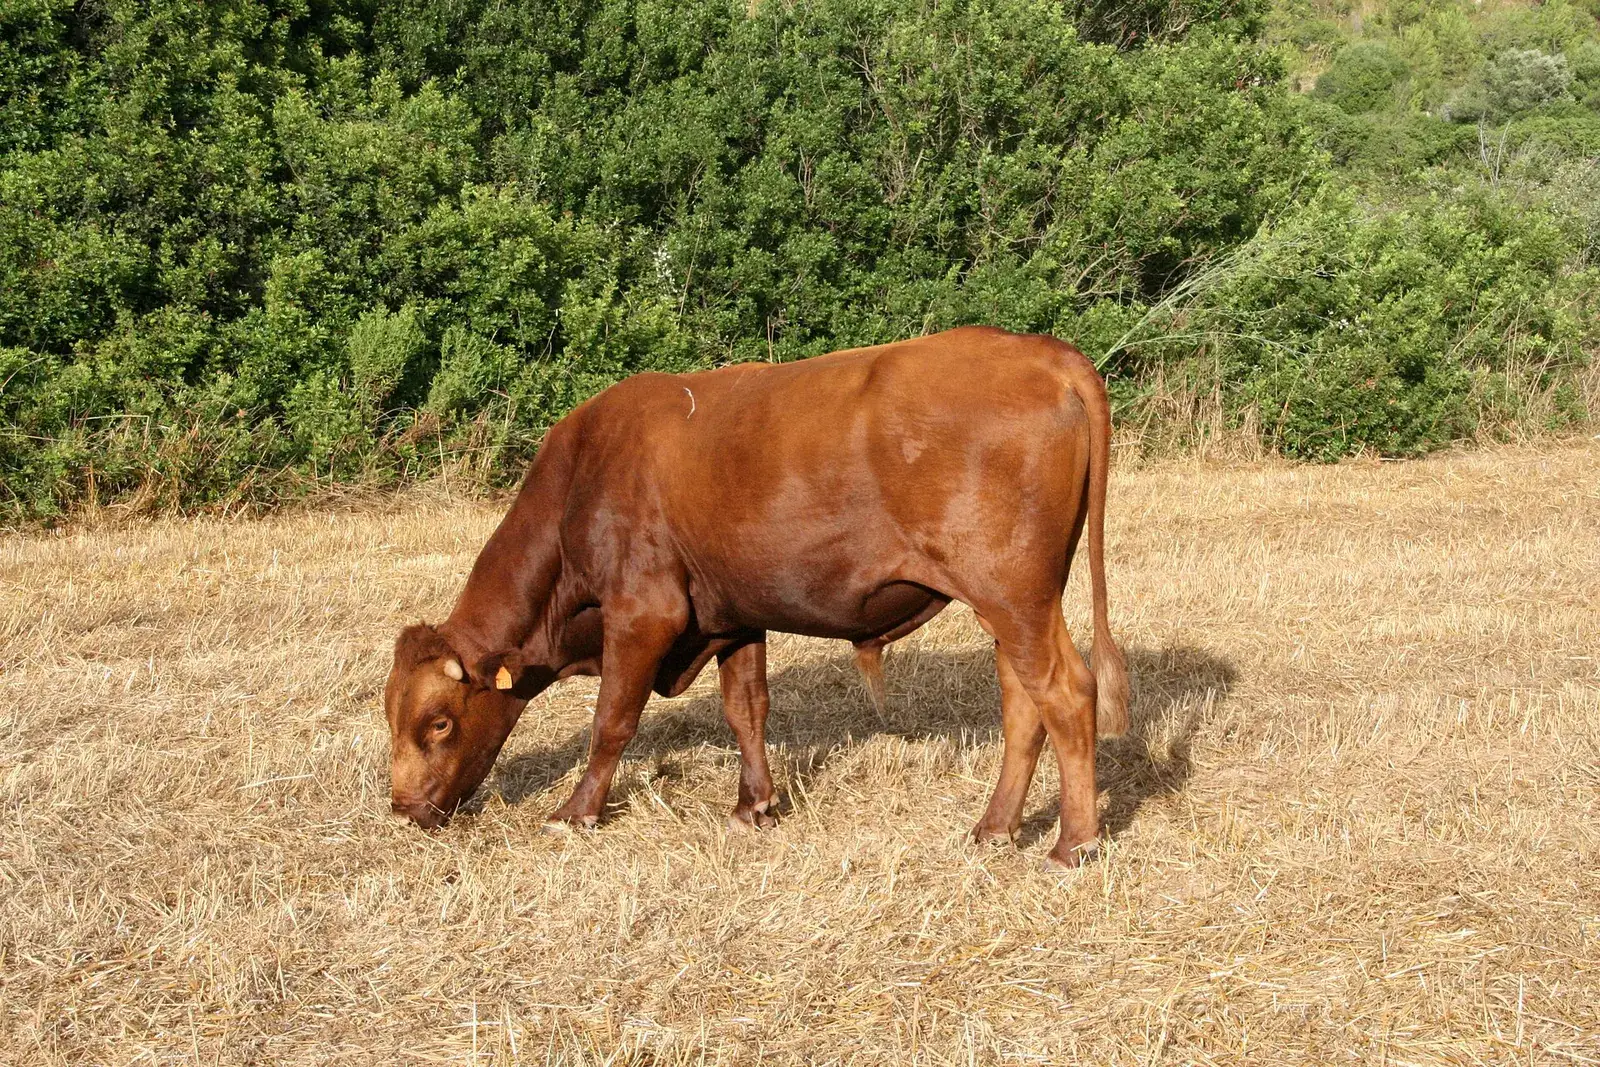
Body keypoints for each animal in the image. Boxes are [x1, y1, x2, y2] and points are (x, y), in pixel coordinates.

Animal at [383, 325, 1129, 869]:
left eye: (439, 722)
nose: (402, 809)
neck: (580, 481)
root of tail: (1042, 351)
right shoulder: (732, 615)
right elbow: (746, 710)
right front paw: (755, 805)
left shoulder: (644, 614)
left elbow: (611, 722)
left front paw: (576, 812)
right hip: (1015, 603)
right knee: (1023, 704)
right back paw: (995, 827)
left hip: (1014, 596)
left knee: (1066, 693)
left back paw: (1073, 843)